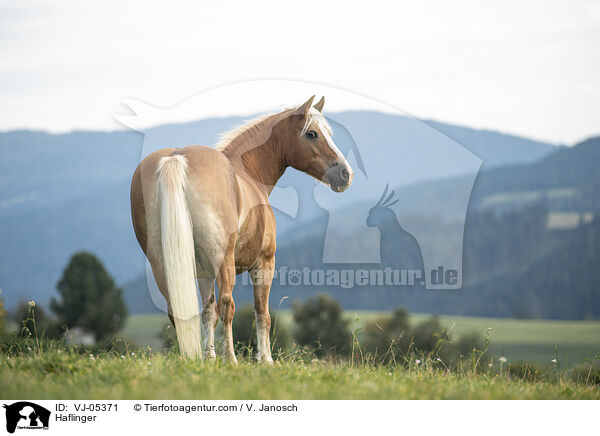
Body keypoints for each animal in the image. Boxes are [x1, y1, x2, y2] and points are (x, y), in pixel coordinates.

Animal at [129, 97, 350, 362]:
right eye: (312, 133)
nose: (345, 174)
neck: (248, 172)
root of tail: (177, 159)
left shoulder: (203, 271)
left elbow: (207, 313)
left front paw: (209, 358)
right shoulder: (264, 263)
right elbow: (261, 313)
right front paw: (265, 360)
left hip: (162, 263)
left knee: (178, 309)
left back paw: (192, 358)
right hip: (221, 259)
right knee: (227, 304)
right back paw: (231, 359)